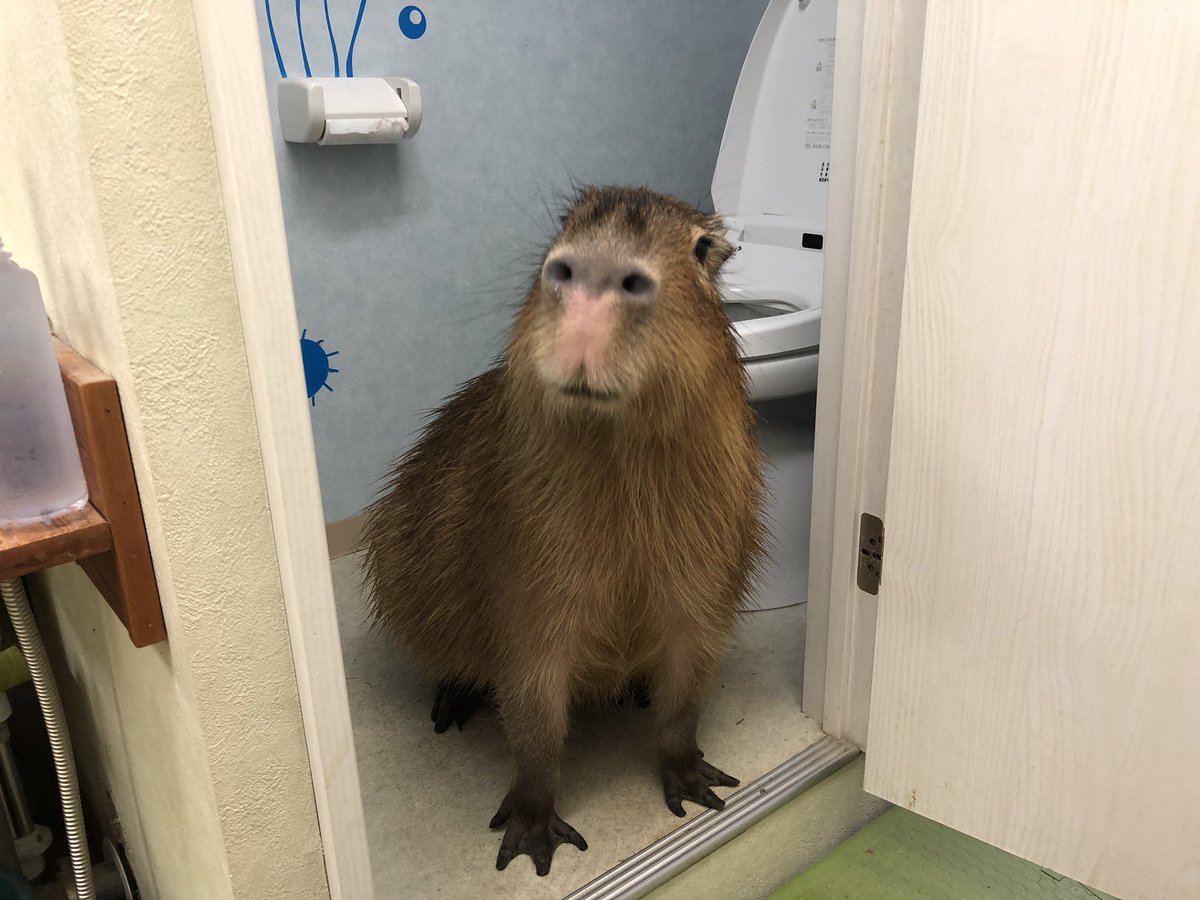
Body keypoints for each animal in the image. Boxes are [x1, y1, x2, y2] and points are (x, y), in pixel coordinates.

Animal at [362, 185, 766, 876]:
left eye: (702, 248)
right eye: (567, 222)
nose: (593, 273)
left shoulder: (704, 591)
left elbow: (685, 697)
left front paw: (697, 785)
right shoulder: (528, 598)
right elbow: (534, 722)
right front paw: (531, 837)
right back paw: (452, 702)